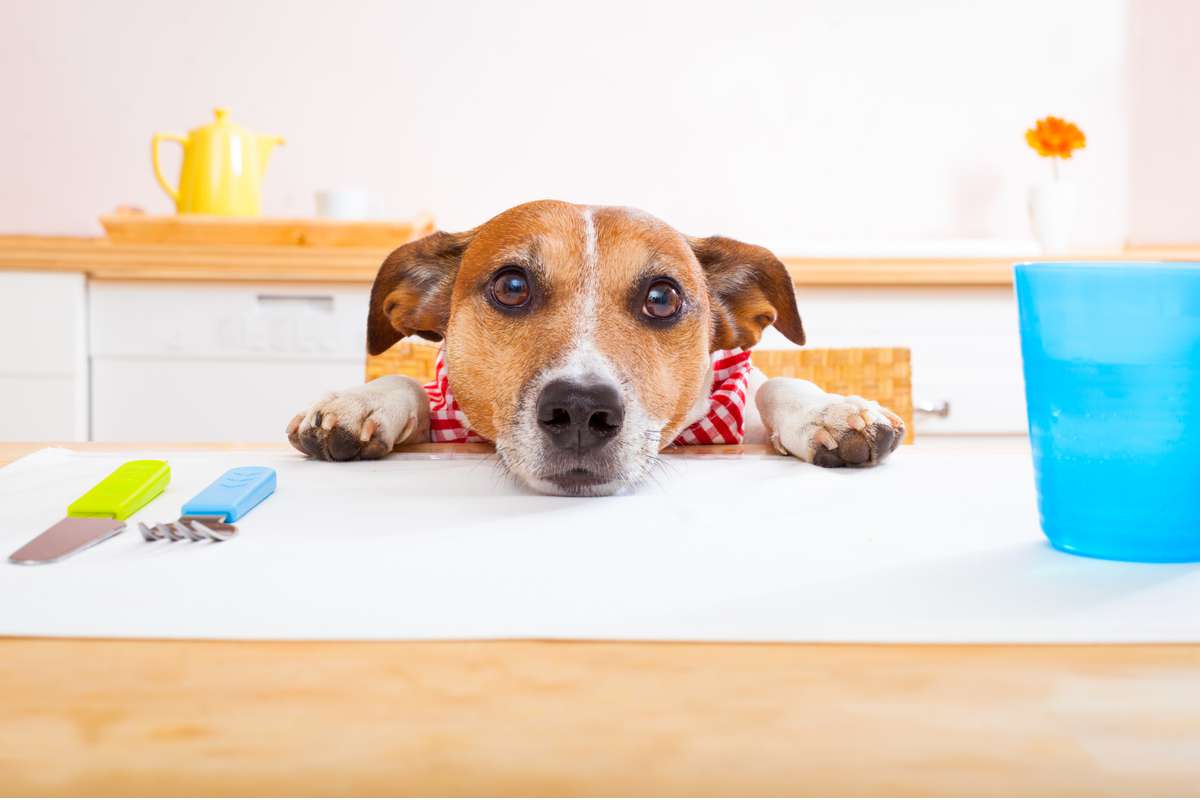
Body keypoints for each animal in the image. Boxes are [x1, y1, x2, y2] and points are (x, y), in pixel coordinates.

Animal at [285, 200, 902, 494]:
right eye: (512, 286)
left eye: (662, 297)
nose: (581, 410)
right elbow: (410, 382)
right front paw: (359, 402)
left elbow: (776, 384)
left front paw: (832, 411)